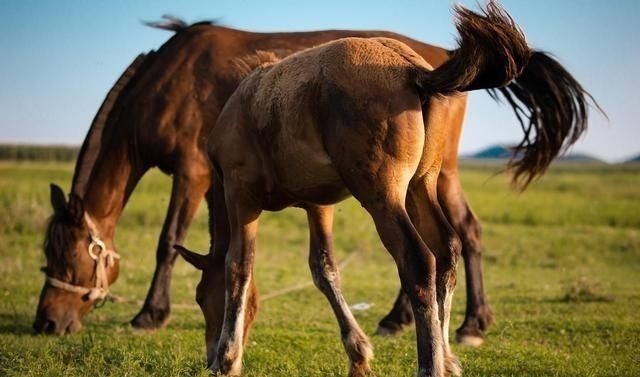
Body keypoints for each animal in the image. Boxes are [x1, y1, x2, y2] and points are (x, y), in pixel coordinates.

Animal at [175, 2, 528, 374]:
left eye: (200, 297)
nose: (208, 355)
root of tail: (414, 71)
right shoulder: (318, 206)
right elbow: (324, 269)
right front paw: (358, 354)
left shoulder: (241, 197)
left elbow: (238, 266)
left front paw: (227, 359)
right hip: (421, 186)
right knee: (447, 249)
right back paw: (446, 359)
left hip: (382, 197)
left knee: (418, 261)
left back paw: (430, 364)